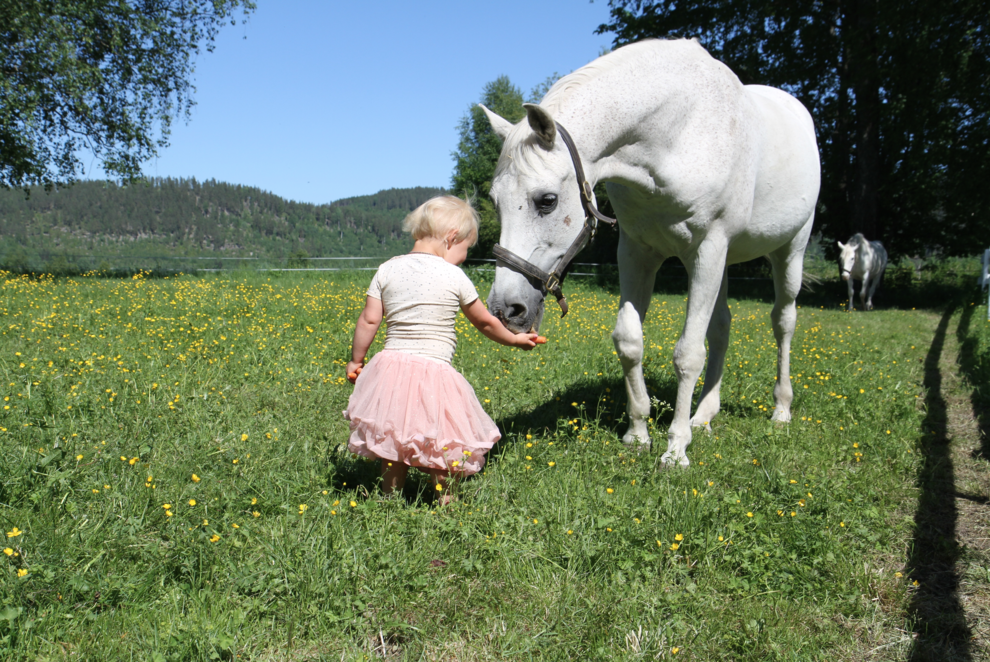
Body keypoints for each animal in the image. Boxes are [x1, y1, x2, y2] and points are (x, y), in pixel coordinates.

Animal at [480, 40, 820, 466]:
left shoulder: (707, 248)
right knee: (721, 327)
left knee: (783, 321)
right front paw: (638, 432)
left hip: (788, 251)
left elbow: (688, 353)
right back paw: (704, 416)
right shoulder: (637, 251)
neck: (678, 132)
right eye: (494, 202)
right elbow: (629, 340)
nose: (505, 309)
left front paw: (675, 448)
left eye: (547, 200)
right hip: (724, 262)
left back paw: (780, 409)